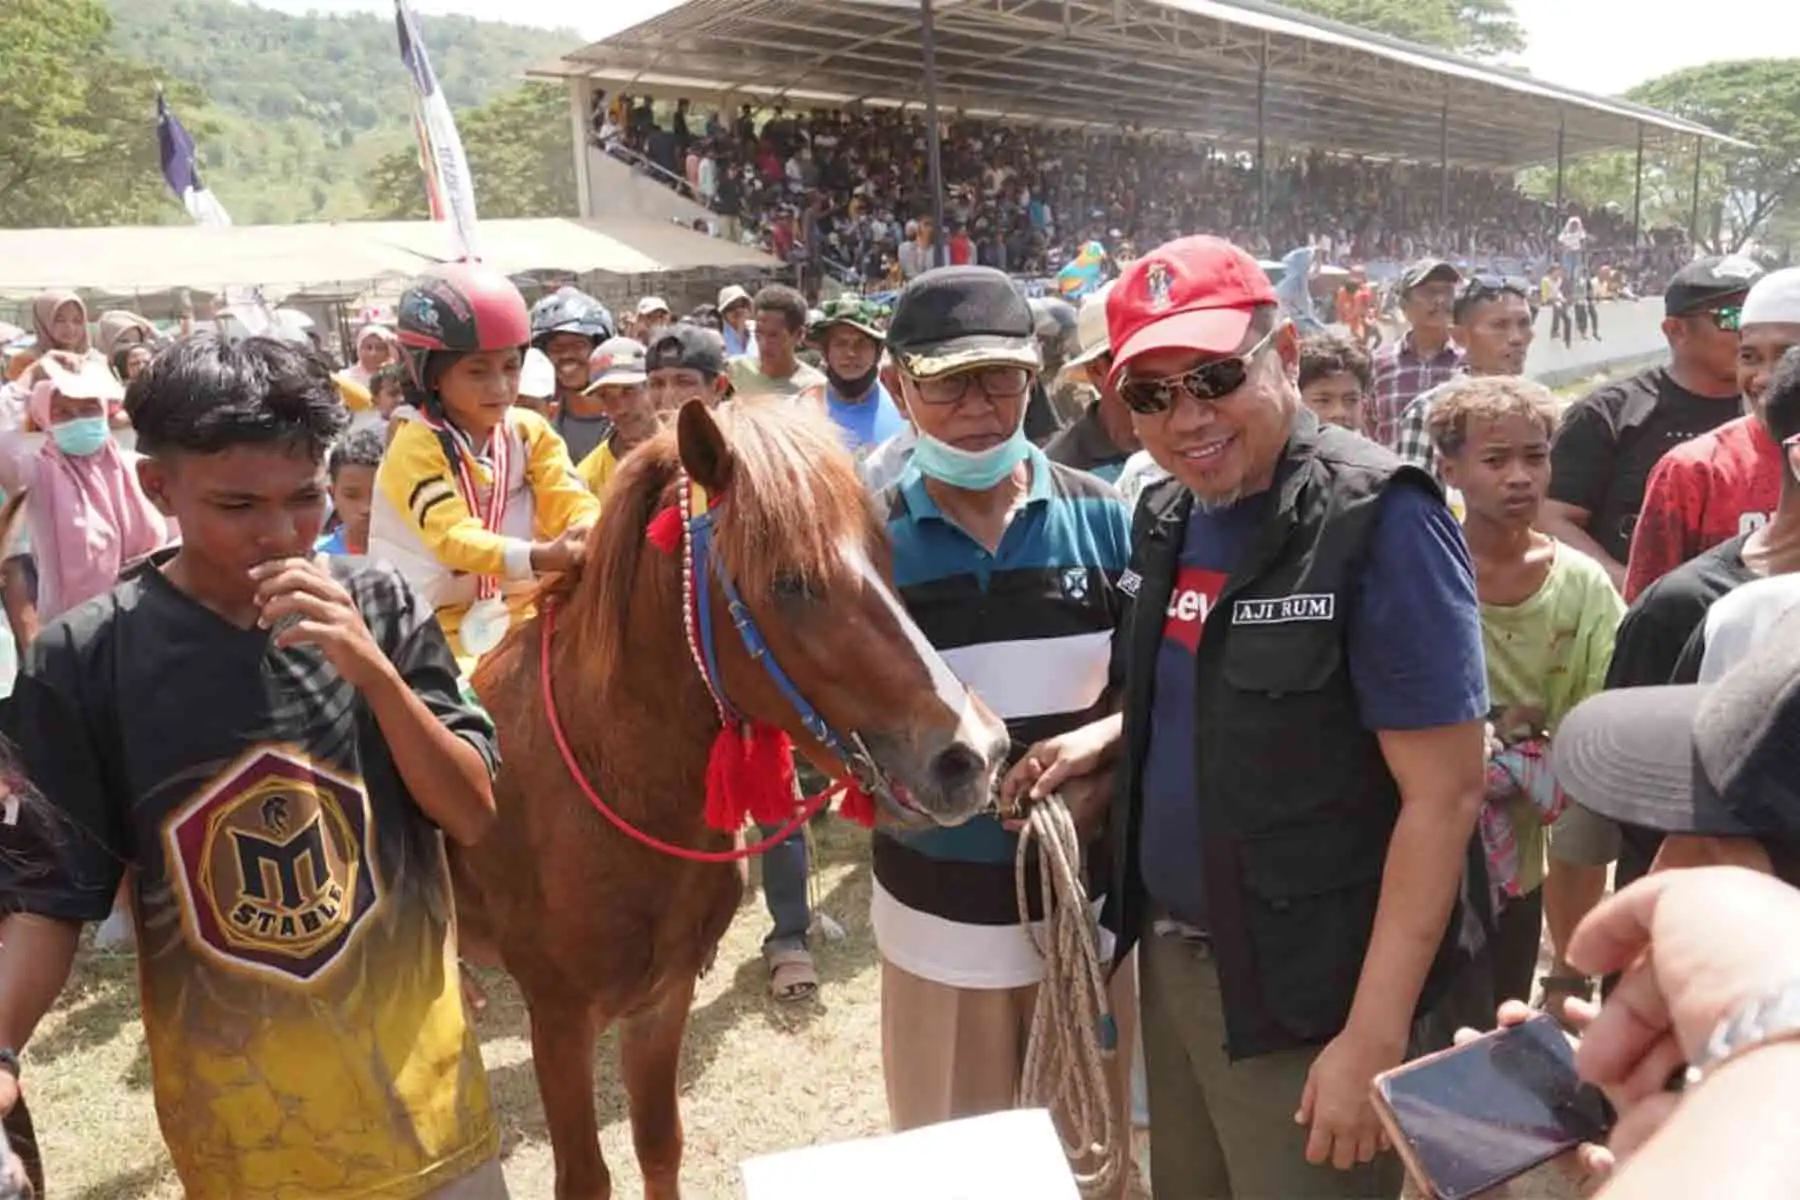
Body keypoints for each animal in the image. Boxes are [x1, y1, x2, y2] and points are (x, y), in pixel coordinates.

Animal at [453, 399, 1015, 1194]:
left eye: (883, 556)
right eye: (789, 582)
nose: (975, 752)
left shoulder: (664, 998)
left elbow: (660, 1144)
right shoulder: (558, 1020)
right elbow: (586, 1177)